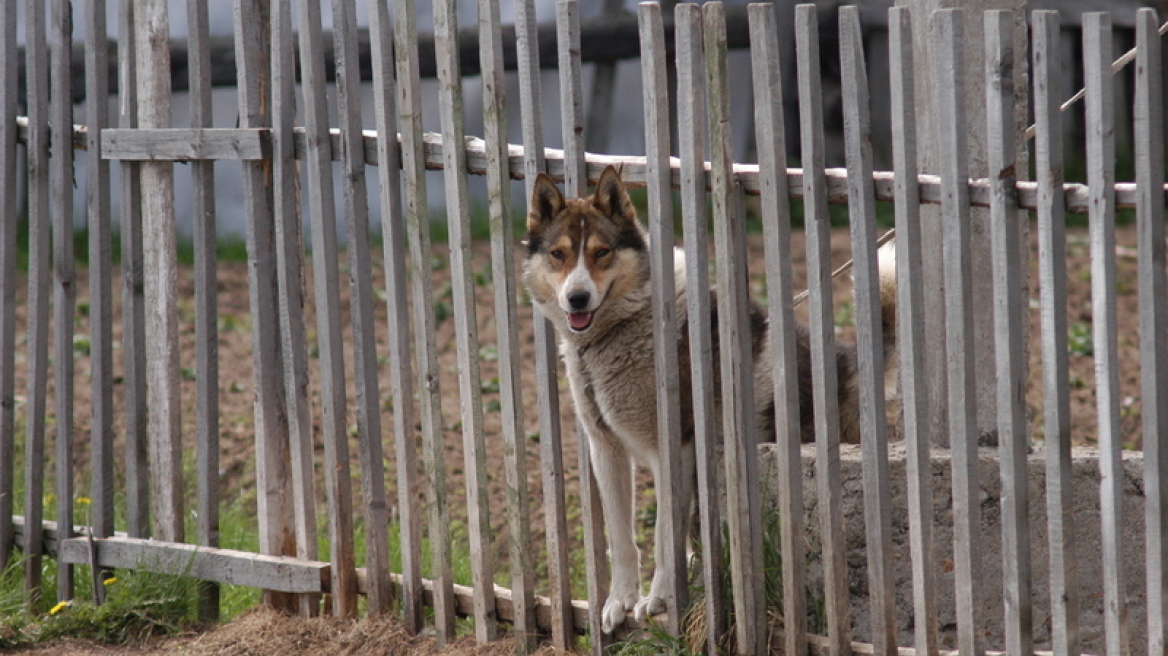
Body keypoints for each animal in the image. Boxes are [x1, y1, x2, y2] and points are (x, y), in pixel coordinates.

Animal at [520, 165, 892, 630]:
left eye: (602, 252)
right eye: (559, 254)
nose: (577, 298)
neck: (625, 326)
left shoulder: (672, 450)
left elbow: (664, 535)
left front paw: (658, 600)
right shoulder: (605, 449)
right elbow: (621, 539)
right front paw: (619, 602)